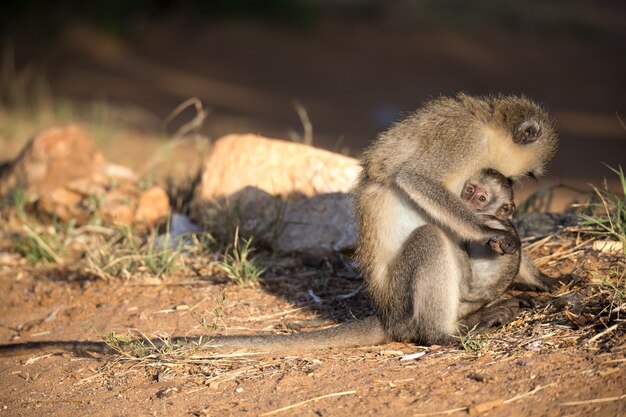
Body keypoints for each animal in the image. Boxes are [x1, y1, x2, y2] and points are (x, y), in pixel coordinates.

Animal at [354, 92, 560, 342]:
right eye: (527, 174)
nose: (512, 184)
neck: (489, 128)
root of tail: (387, 318)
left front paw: (538, 277)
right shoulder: (464, 139)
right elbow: (415, 178)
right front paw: (489, 232)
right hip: (400, 299)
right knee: (431, 236)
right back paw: (442, 334)